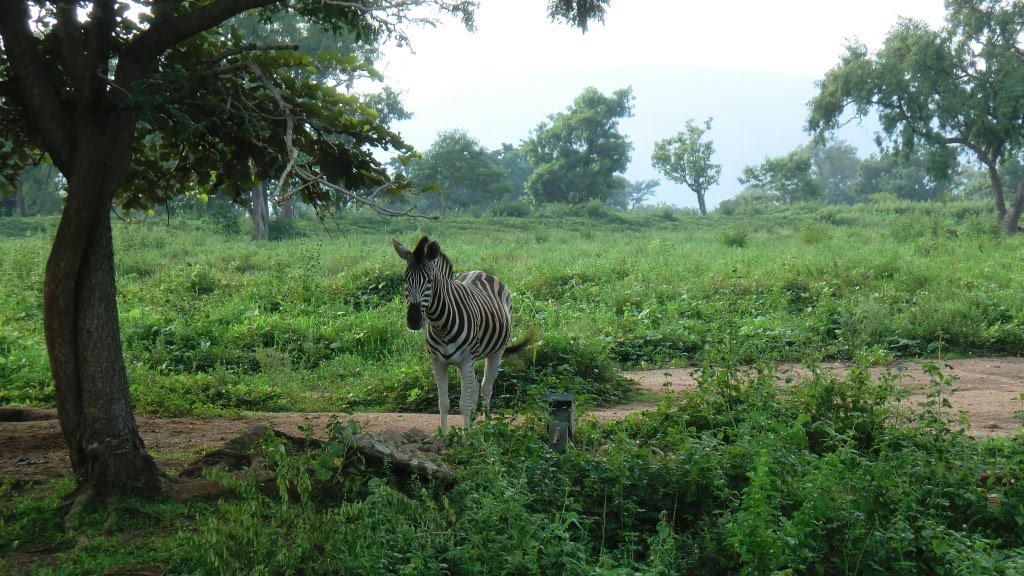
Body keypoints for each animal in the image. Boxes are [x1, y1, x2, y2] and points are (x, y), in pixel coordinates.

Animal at [391, 235, 532, 432]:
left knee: (486, 388)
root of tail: (481, 271)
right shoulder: (437, 362)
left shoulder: (466, 361)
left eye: (430, 280)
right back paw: (473, 426)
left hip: (496, 351)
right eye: (405, 279)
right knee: (474, 391)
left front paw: (465, 437)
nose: (413, 320)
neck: (441, 325)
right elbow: (444, 403)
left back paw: (486, 427)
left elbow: (463, 404)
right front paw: (445, 434)